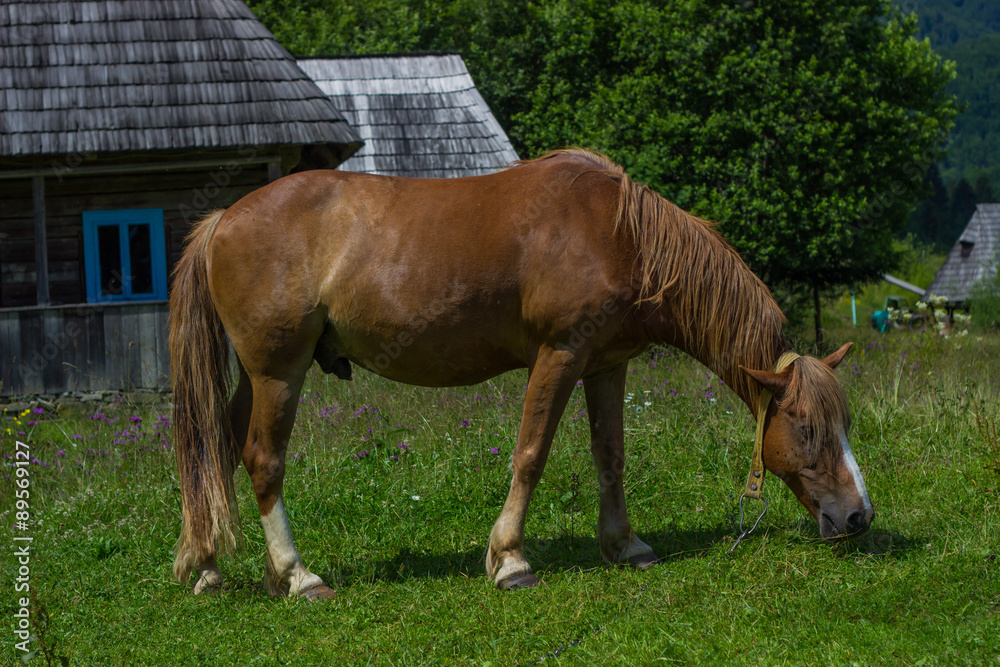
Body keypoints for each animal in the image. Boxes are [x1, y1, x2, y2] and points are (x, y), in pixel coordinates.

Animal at [169, 149, 874, 598]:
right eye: (806, 428)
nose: (858, 517)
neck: (619, 233)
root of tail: (223, 220)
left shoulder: (607, 365)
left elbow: (610, 456)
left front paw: (626, 545)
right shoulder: (559, 354)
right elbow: (531, 453)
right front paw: (509, 560)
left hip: (256, 377)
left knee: (218, 450)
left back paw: (208, 567)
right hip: (279, 373)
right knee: (262, 460)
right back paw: (297, 576)